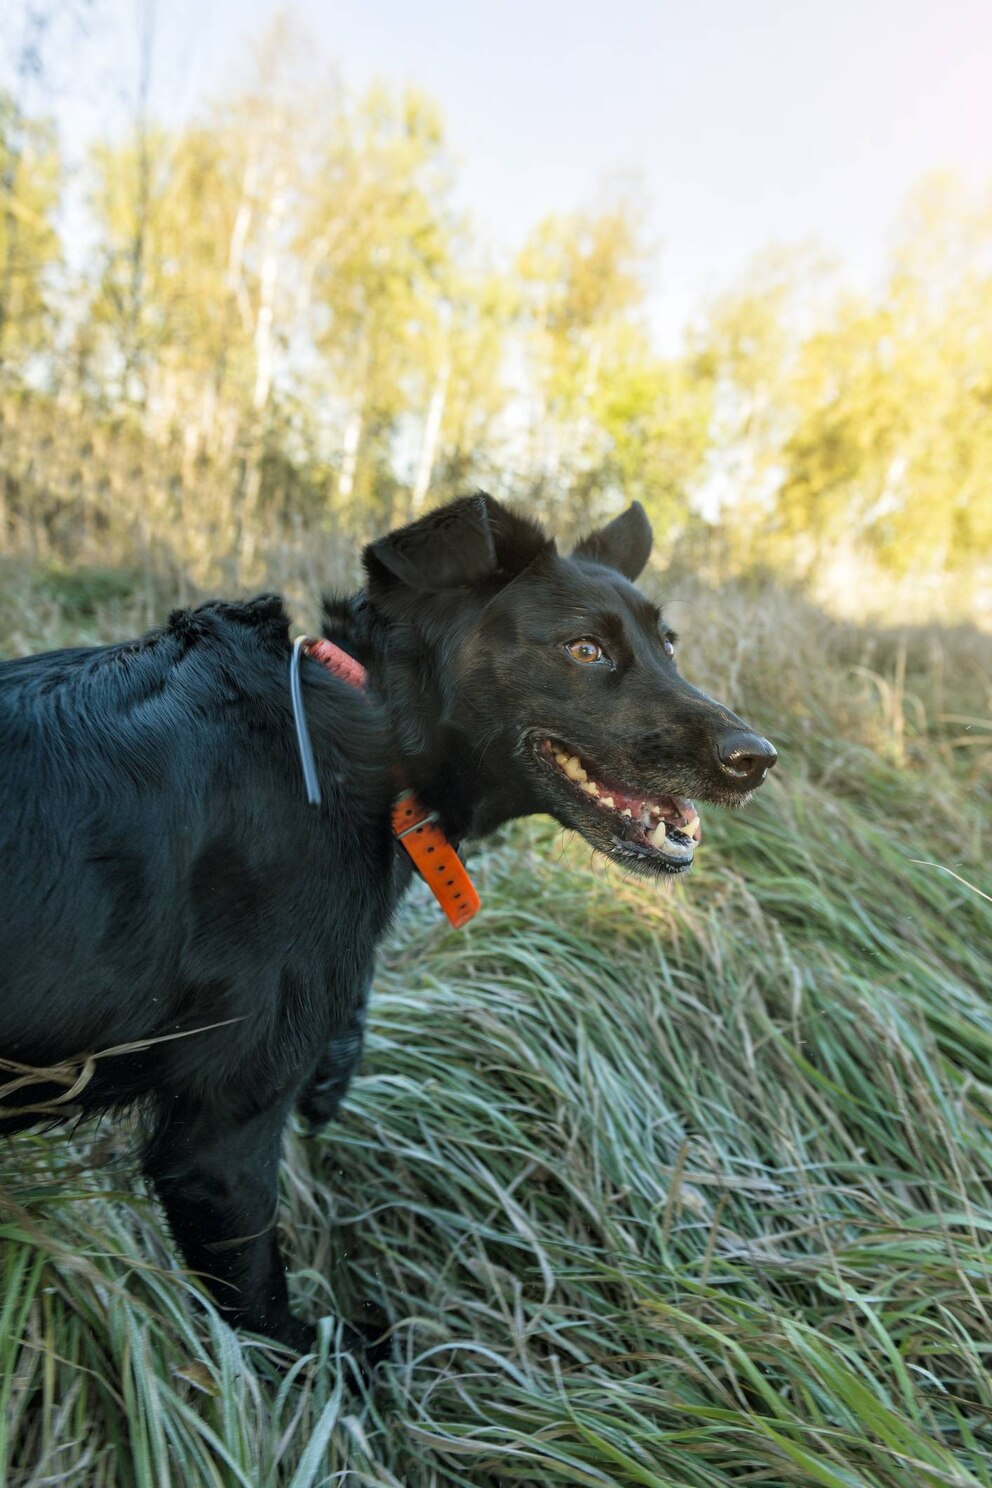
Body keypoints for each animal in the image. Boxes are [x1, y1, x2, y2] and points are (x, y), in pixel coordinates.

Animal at [0, 494, 773, 1357]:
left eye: (668, 646)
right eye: (585, 649)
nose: (756, 758)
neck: (369, 726)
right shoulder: (218, 1137)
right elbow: (266, 1308)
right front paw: (346, 1361)